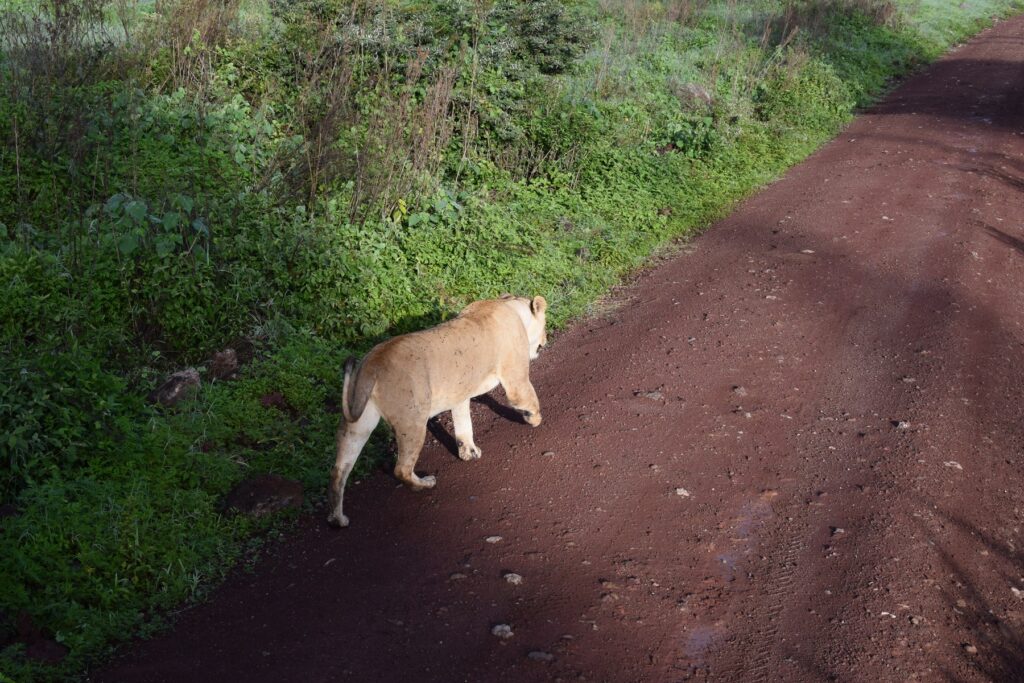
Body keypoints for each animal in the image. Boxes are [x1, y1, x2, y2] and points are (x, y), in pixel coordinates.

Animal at [326, 294, 548, 527]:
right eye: (546, 324)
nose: (546, 340)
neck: (510, 305)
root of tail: (372, 363)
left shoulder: (459, 393)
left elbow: (463, 424)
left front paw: (468, 452)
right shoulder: (515, 378)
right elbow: (527, 397)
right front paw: (535, 419)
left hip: (357, 423)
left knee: (338, 472)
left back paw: (337, 519)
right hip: (412, 420)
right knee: (401, 469)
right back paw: (425, 484)